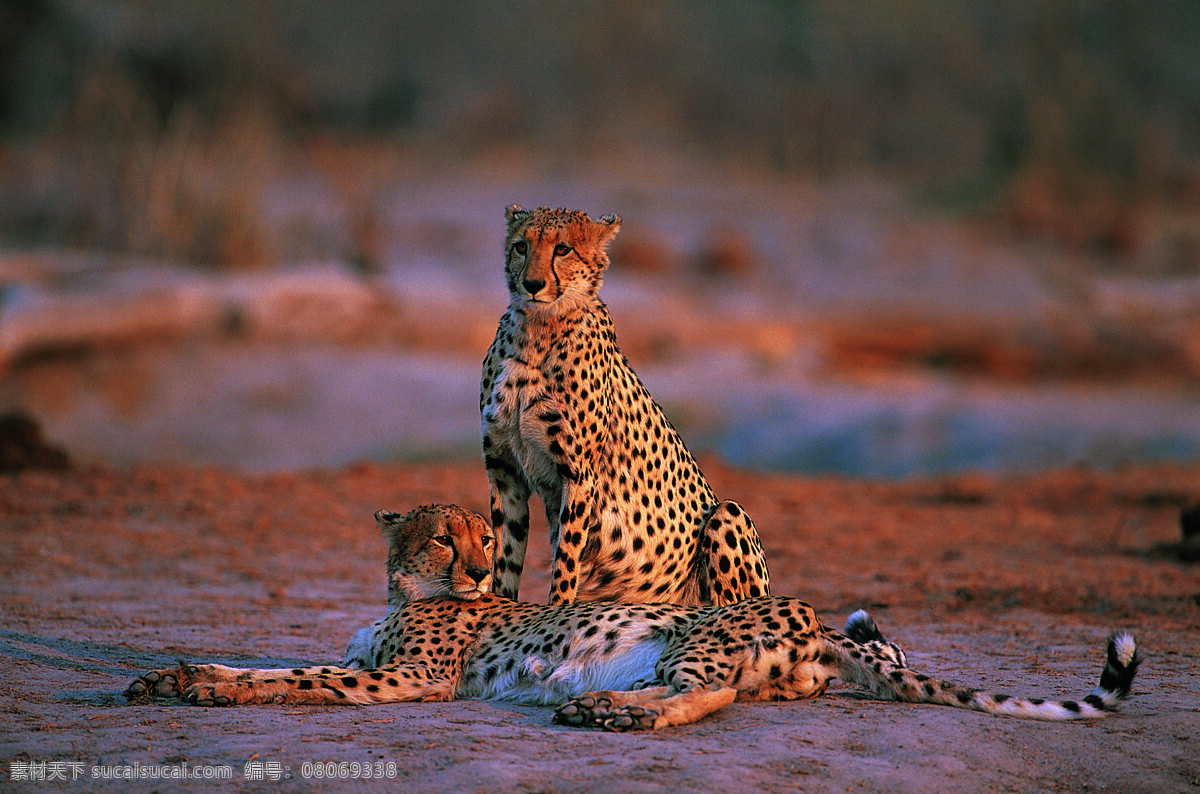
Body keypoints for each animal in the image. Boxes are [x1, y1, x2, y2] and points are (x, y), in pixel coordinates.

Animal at [477, 205, 768, 604]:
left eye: (563, 249)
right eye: (522, 246)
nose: (532, 284)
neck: (537, 331)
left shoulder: (578, 476)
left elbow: (565, 562)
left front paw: (557, 610)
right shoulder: (505, 470)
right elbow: (506, 556)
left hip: (728, 515)